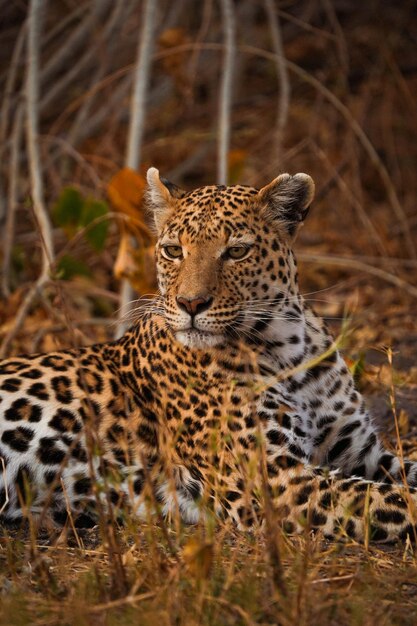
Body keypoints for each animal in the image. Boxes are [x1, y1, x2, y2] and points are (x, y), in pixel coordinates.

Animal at [0, 167, 416, 540]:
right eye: (173, 251)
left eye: (236, 252)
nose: (191, 303)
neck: (288, 348)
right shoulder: (279, 482)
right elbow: (395, 500)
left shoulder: (361, 454)